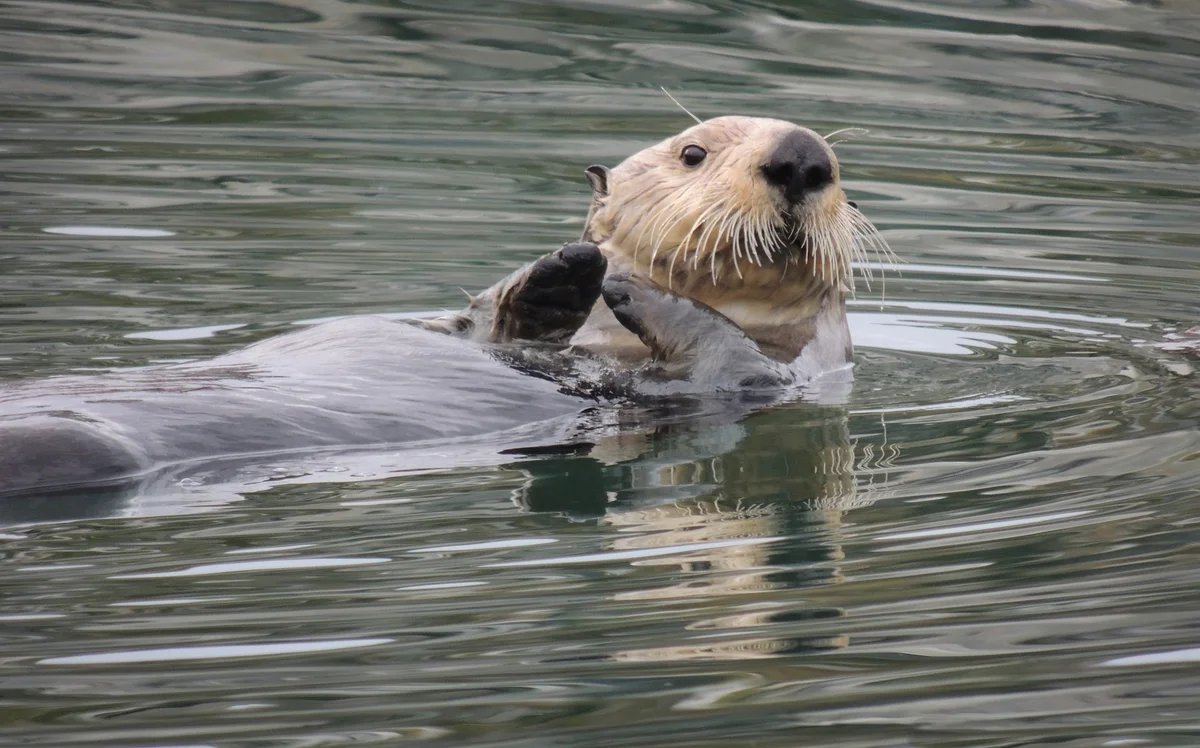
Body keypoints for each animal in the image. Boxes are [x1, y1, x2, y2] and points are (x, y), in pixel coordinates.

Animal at [0, 116, 888, 499]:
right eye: (693, 152)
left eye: (835, 165)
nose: (802, 158)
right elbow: (477, 322)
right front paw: (561, 273)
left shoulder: (765, 381)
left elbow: (723, 357)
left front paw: (634, 288)